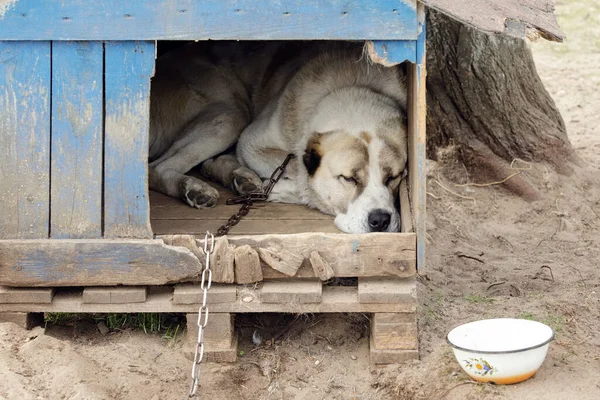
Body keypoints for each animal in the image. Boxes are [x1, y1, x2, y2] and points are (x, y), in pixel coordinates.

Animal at [148, 41, 408, 233]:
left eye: (394, 177)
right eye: (349, 179)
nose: (380, 220)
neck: (353, 87)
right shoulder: (251, 142)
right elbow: (300, 174)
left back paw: (239, 178)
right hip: (229, 116)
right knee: (156, 167)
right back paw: (193, 188)